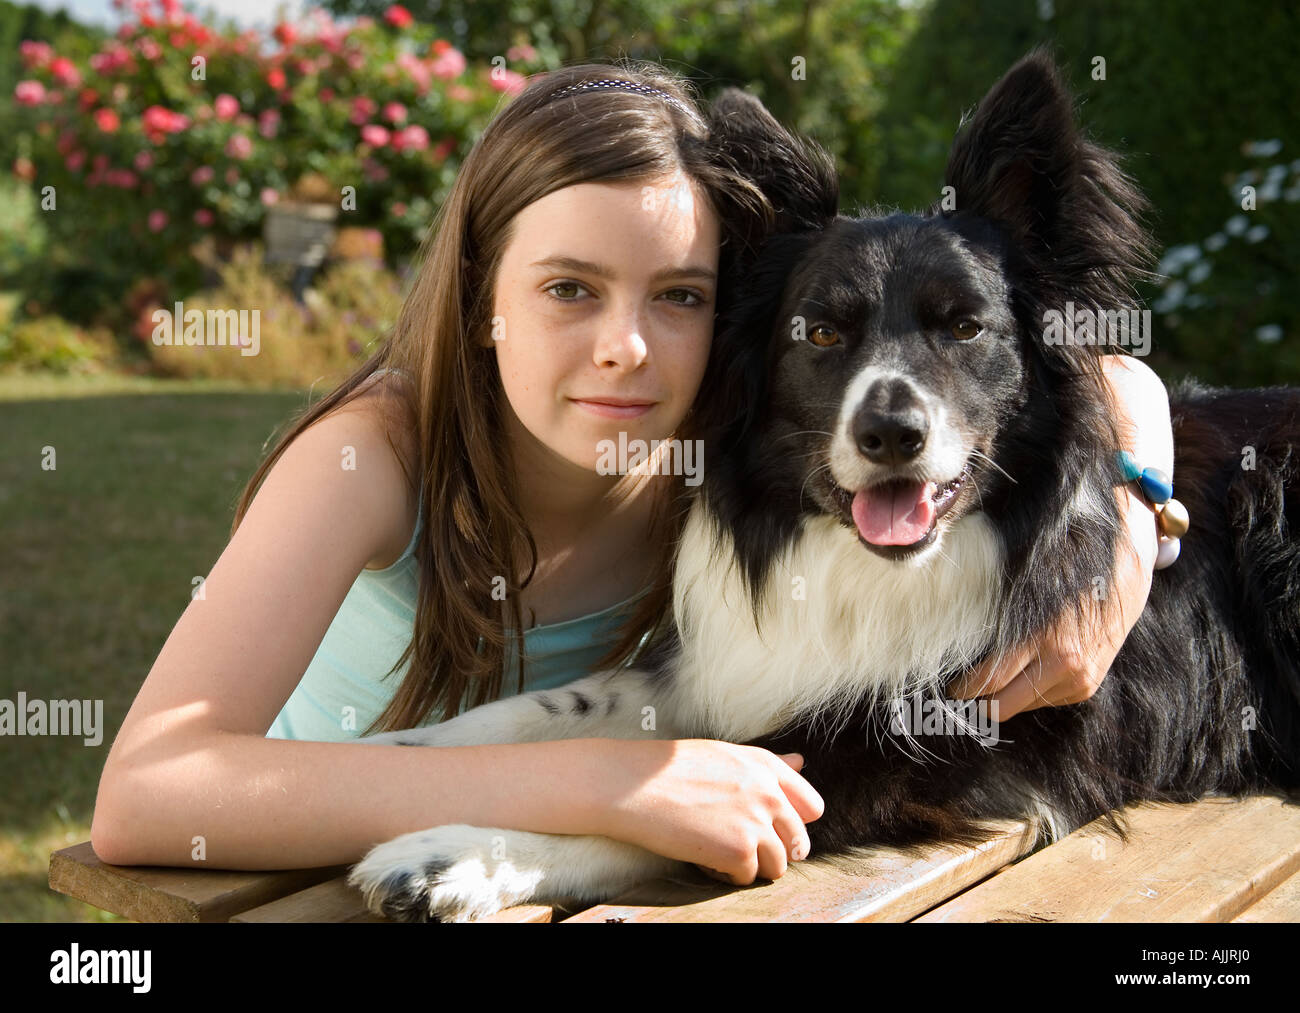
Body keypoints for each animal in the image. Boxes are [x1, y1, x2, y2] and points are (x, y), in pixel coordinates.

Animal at [348, 51, 1300, 920]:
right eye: (821, 332)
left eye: (966, 328)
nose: (891, 434)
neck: (873, 565)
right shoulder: (726, 661)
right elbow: (561, 703)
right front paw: (406, 752)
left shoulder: (948, 743)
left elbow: (702, 794)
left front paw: (458, 855)